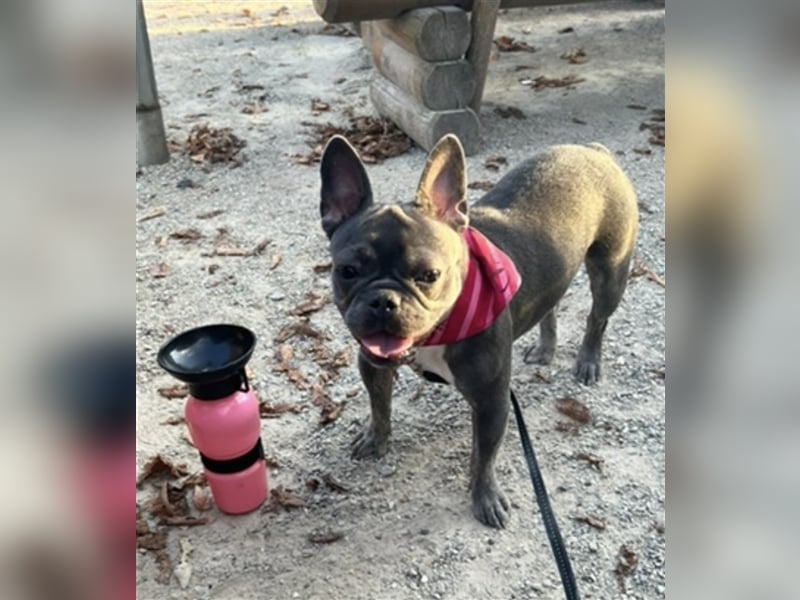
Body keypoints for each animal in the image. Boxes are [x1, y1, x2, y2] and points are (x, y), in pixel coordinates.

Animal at [318, 135, 636, 524]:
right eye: (347, 271)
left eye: (429, 275)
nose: (383, 300)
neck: (438, 333)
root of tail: (593, 150)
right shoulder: (373, 365)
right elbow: (380, 405)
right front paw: (376, 439)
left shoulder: (491, 401)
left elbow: (484, 456)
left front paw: (484, 497)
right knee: (550, 304)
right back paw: (545, 348)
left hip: (610, 272)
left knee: (597, 319)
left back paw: (588, 361)